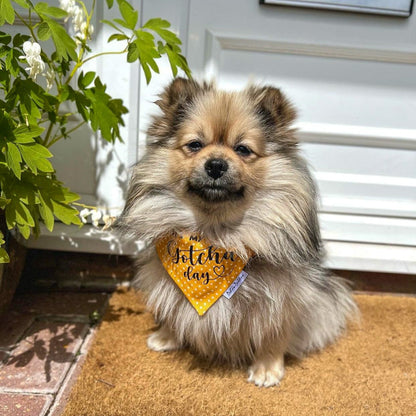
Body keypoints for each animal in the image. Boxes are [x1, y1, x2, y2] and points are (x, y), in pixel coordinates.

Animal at [117, 78, 358, 386]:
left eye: (243, 149)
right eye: (195, 145)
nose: (216, 164)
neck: (217, 235)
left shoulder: (282, 298)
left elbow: (273, 333)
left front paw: (267, 368)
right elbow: (174, 307)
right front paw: (167, 336)